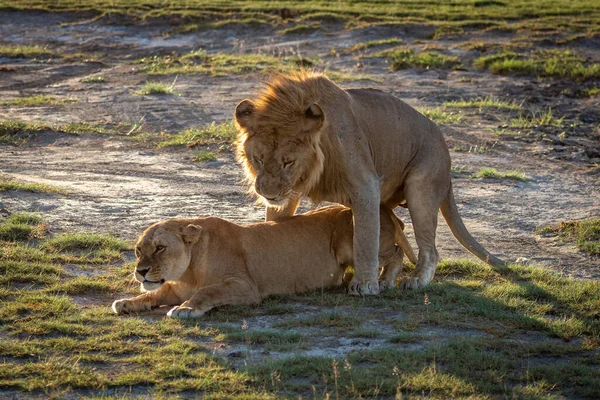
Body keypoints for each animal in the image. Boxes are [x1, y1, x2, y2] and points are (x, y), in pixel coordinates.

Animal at [111, 206, 412, 318]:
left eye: (160, 248)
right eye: (138, 250)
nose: (140, 271)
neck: (187, 272)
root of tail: (386, 209)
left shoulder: (245, 287)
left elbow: (208, 291)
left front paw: (186, 309)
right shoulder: (174, 287)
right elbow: (154, 293)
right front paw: (126, 302)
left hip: (353, 242)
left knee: (396, 251)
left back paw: (384, 281)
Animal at [234, 71, 506, 294]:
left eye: (288, 162)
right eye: (258, 159)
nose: (268, 193)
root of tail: (445, 148)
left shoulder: (366, 185)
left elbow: (365, 239)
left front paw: (364, 284)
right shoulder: (288, 194)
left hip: (421, 185)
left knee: (430, 248)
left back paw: (416, 279)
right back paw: (388, 279)